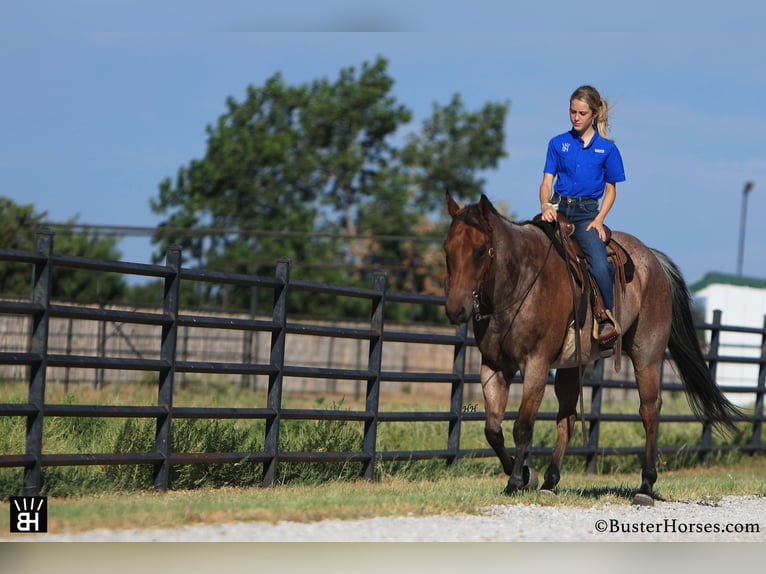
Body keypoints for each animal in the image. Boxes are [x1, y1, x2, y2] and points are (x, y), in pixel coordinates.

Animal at [444, 195, 744, 508]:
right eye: (446, 249)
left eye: (480, 251)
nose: (455, 309)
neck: (521, 282)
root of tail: (652, 259)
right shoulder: (494, 367)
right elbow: (493, 430)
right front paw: (527, 475)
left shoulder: (536, 365)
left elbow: (522, 426)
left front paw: (516, 480)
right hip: (571, 366)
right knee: (567, 417)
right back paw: (550, 482)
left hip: (647, 356)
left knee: (649, 410)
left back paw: (645, 486)